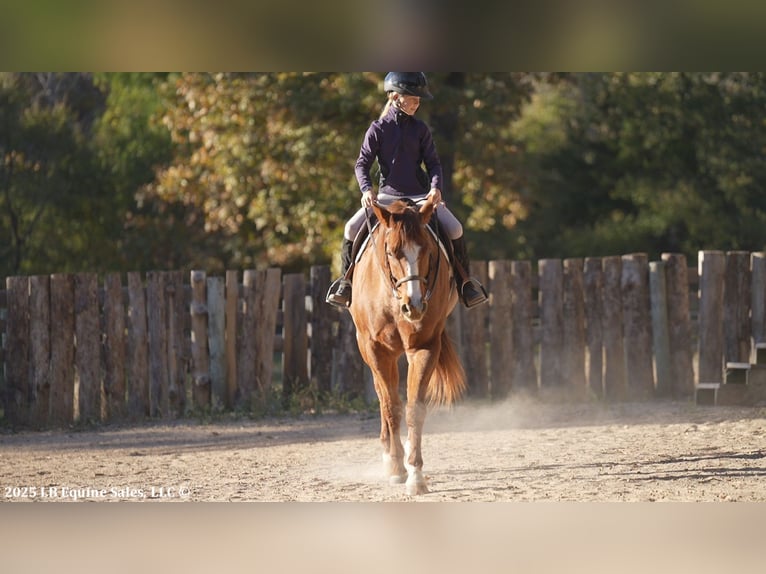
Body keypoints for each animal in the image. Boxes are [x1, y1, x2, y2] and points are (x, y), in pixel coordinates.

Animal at [348, 196, 466, 495]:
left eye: (426, 251)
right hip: (372, 352)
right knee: (382, 396)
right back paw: (389, 457)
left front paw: (415, 475)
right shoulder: (376, 349)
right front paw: (397, 468)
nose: (413, 306)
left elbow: (414, 408)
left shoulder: (424, 347)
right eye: (391, 252)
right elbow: (391, 406)